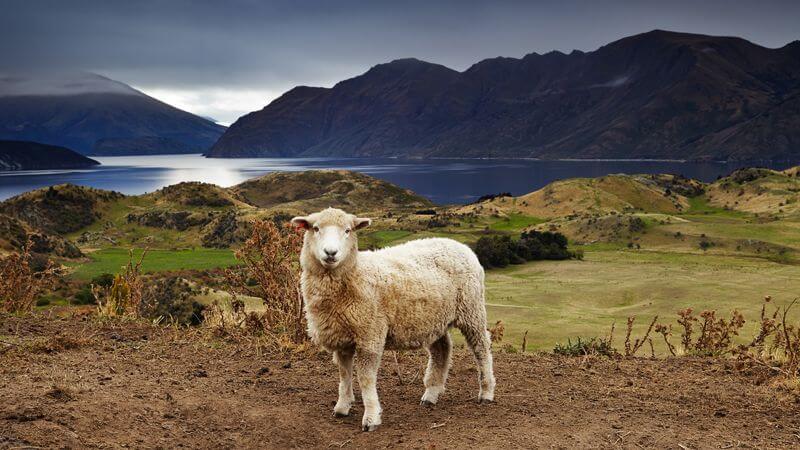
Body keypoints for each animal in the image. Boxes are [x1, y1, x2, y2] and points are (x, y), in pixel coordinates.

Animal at [291, 207, 495, 432]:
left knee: (481, 347)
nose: (331, 253)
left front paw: (371, 417)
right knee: (442, 349)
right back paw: (431, 394)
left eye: (347, 230)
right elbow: (344, 374)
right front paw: (342, 407)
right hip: (433, 317)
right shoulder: (342, 337)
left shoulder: (370, 333)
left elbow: (365, 378)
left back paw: (486, 392)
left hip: (472, 309)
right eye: (316, 228)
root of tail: (461, 246)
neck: (355, 275)